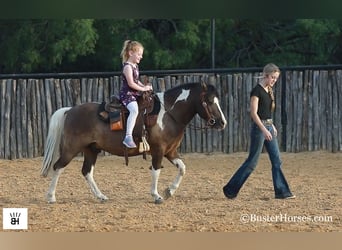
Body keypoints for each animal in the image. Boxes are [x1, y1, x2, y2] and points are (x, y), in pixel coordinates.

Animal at [40, 82, 227, 203]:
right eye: (209, 101)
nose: (222, 122)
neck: (168, 114)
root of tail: (70, 110)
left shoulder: (171, 151)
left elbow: (182, 168)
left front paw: (169, 191)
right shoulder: (159, 151)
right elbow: (156, 171)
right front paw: (156, 195)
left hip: (91, 150)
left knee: (87, 172)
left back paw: (101, 196)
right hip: (71, 149)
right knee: (58, 167)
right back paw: (51, 197)